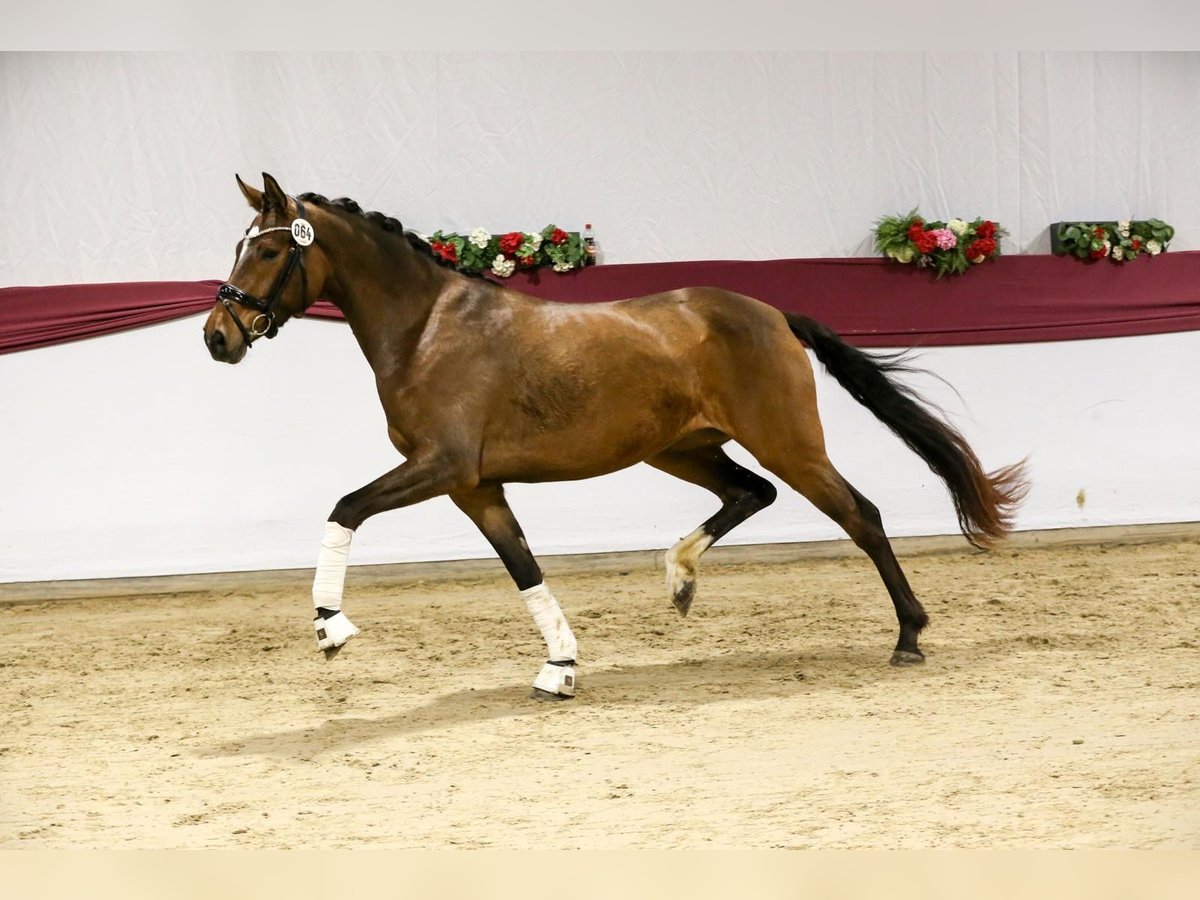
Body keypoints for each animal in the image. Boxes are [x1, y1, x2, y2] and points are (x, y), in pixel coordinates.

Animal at [201, 172, 1027, 700]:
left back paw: (908, 636)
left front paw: (330, 627)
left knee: (862, 515)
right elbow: (523, 567)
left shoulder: (442, 466)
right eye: (240, 246)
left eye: (268, 249)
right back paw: (681, 577)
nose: (217, 336)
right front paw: (560, 669)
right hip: (682, 448)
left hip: (786, 442)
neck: (426, 328)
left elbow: (345, 507)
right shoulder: (476, 486)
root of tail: (771, 312)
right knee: (750, 494)